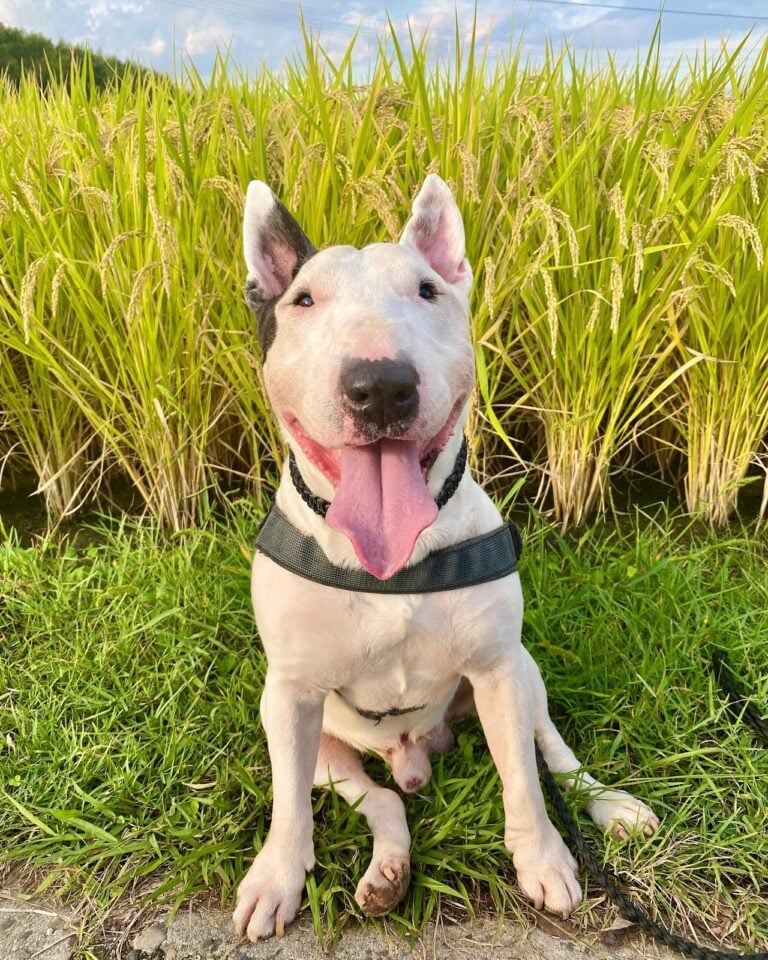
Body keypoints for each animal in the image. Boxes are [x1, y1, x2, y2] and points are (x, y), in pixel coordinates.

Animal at [232, 172, 656, 936]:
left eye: (428, 290)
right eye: (303, 300)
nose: (379, 386)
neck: (391, 566)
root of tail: (412, 756)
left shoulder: (497, 672)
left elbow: (525, 781)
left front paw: (543, 860)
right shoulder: (289, 696)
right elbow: (287, 808)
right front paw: (276, 877)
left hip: (525, 673)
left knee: (554, 753)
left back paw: (609, 804)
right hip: (322, 744)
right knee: (378, 799)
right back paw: (386, 872)